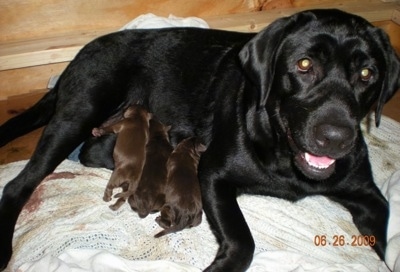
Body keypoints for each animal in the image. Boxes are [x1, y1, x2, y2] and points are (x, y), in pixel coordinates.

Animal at [0, 7, 398, 270]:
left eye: (367, 73)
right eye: (303, 65)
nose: (336, 137)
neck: (285, 156)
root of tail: (79, 54)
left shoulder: (369, 197)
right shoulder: (213, 174)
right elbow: (242, 240)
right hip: (79, 112)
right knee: (19, 184)